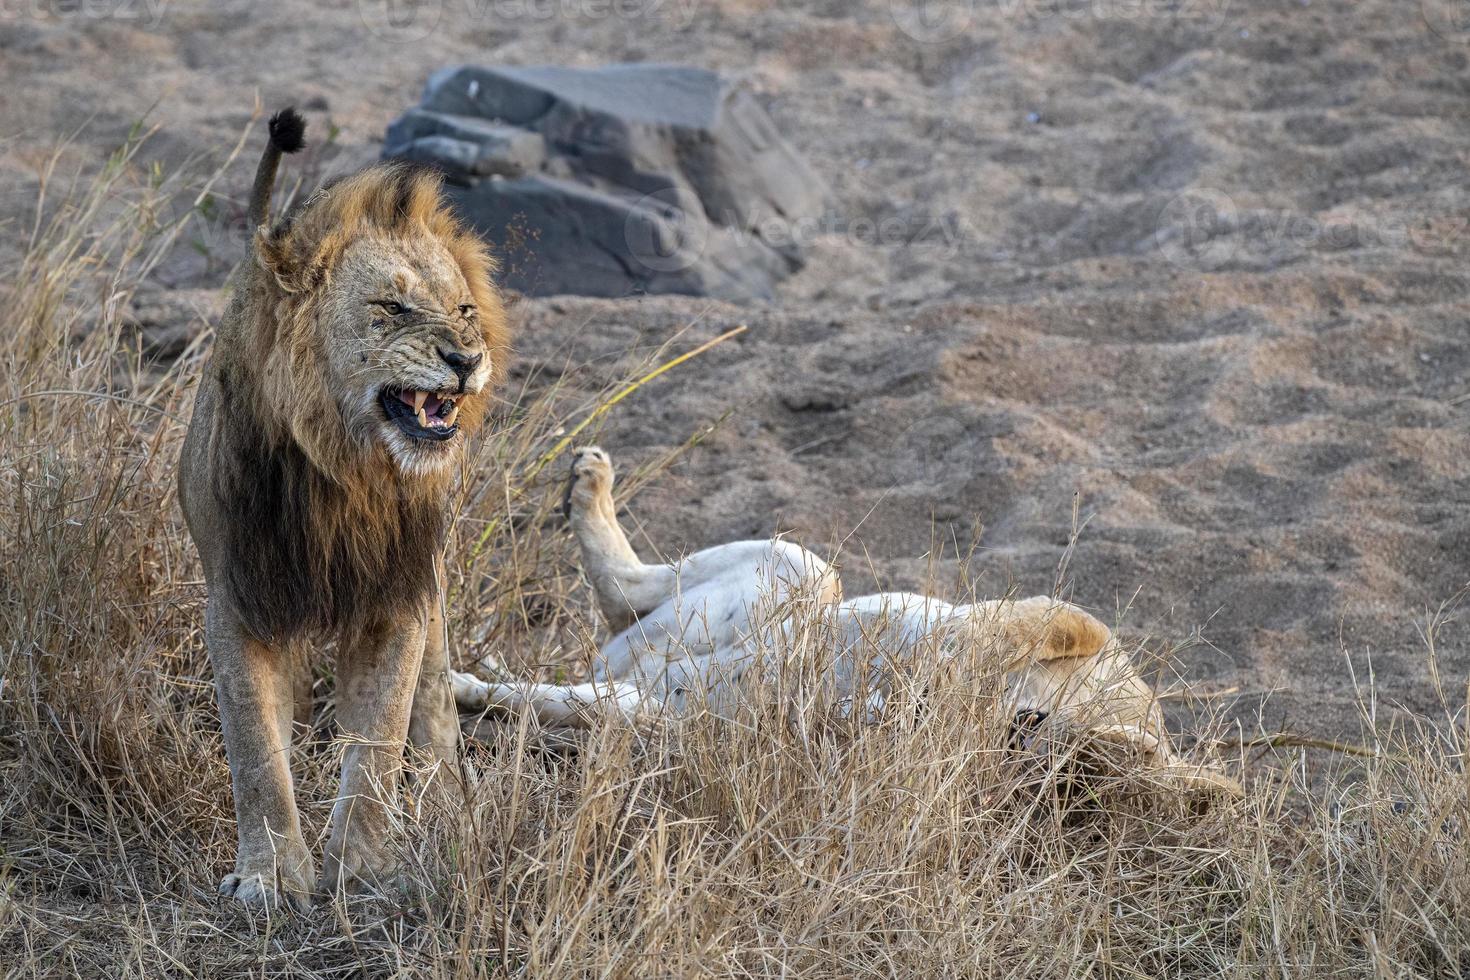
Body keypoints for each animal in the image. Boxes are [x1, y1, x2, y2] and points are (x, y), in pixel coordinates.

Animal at [179, 109, 505, 910]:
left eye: (463, 310)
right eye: (390, 308)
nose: (466, 358)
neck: (344, 474)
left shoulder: (398, 599)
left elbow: (379, 740)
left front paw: (359, 870)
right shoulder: (238, 597)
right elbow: (255, 749)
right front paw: (270, 877)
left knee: (435, 708)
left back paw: (448, 811)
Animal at [452, 449, 1234, 799]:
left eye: (1076, 773)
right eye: (1050, 734)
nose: (1021, 732)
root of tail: (621, 660)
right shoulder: (1069, 625)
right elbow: (1034, 627)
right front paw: (930, 684)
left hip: (647, 700)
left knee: (564, 688)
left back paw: (463, 682)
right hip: (800, 570)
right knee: (630, 592)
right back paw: (589, 485)